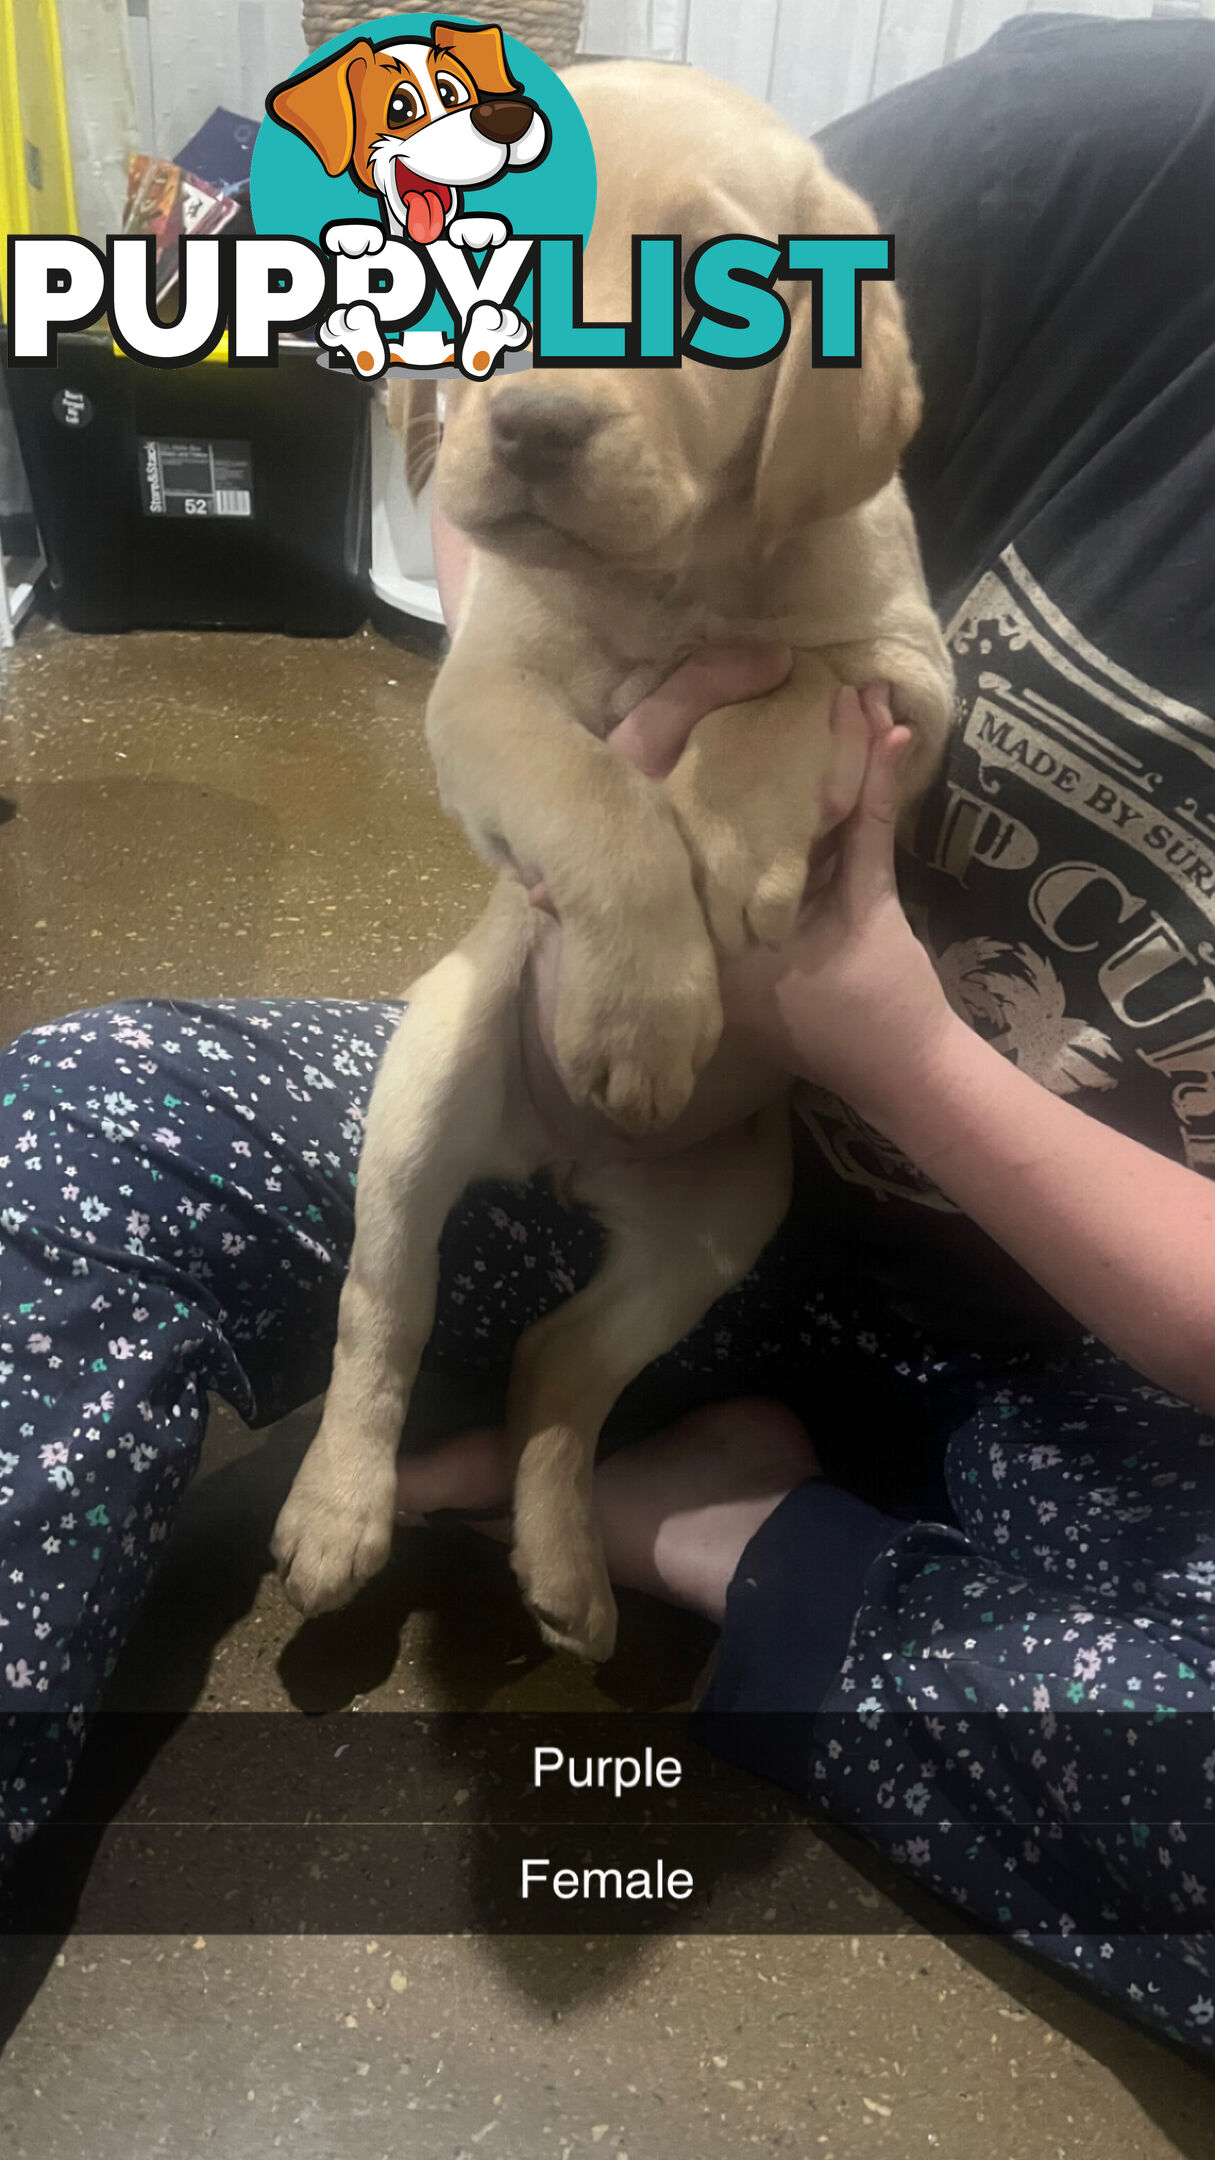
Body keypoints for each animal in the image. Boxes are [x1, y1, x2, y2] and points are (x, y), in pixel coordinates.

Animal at [269, 63, 951, 1650]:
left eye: (711, 289)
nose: (529, 427)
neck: (672, 579)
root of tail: (564, 1163)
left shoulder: (912, 681)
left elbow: (785, 683)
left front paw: (736, 844)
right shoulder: (482, 702)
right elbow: (602, 801)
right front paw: (643, 1011)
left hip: (719, 1225)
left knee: (556, 1366)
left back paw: (567, 1563)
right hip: (431, 1075)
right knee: (384, 1312)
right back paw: (339, 1516)